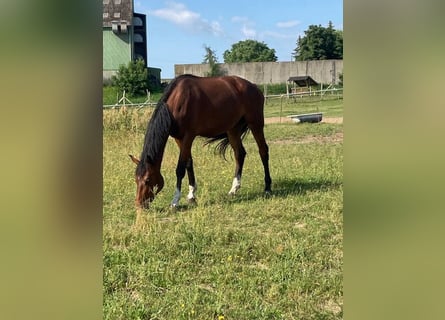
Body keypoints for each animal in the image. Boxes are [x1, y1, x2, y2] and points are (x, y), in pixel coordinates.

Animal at [128, 75, 270, 210]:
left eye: (147, 180)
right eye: (136, 179)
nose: (139, 204)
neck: (177, 102)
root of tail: (254, 87)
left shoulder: (188, 136)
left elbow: (180, 169)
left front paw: (175, 201)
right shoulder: (179, 138)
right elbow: (189, 163)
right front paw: (191, 195)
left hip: (255, 123)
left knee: (263, 151)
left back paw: (267, 188)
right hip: (233, 129)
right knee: (239, 154)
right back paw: (233, 189)